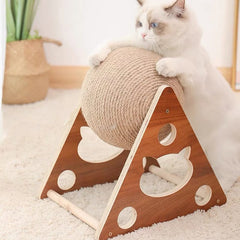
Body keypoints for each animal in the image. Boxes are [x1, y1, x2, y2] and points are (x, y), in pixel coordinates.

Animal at [88, 0, 240, 192]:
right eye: (140, 24)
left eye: (154, 25)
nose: (143, 34)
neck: (163, 51)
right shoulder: (136, 42)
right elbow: (111, 41)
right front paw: (95, 57)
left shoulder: (195, 77)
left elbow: (181, 63)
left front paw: (164, 66)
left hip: (219, 152)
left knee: (229, 175)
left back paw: (206, 191)